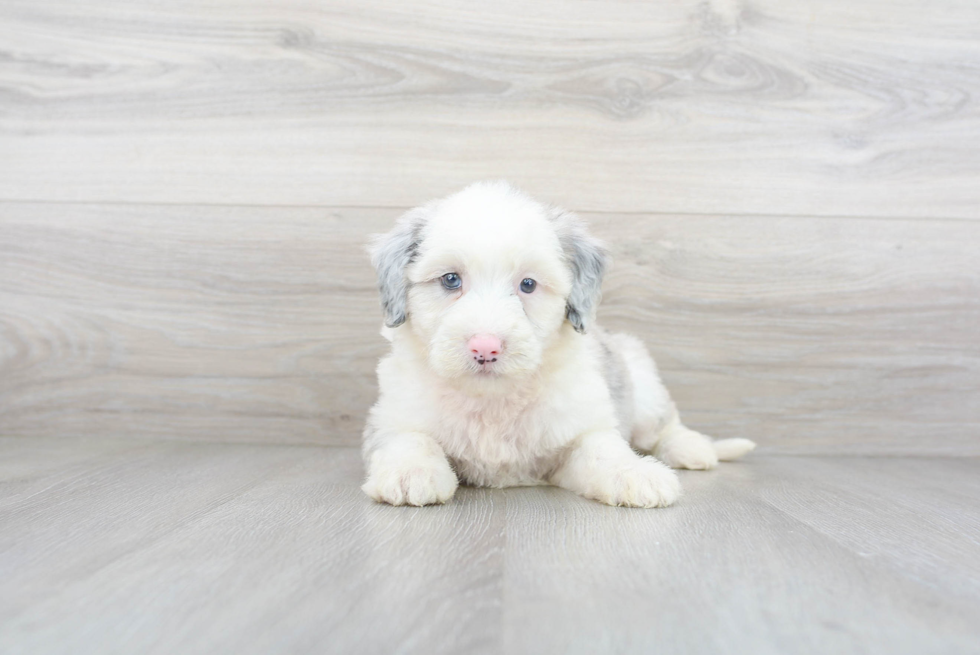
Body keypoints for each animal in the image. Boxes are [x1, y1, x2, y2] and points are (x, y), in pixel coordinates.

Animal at [364, 182, 756, 510]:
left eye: (528, 284)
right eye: (450, 279)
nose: (485, 348)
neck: (493, 402)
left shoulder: (580, 429)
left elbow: (603, 449)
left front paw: (635, 474)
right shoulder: (391, 418)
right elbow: (410, 438)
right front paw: (410, 472)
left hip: (643, 387)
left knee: (666, 426)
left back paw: (691, 449)